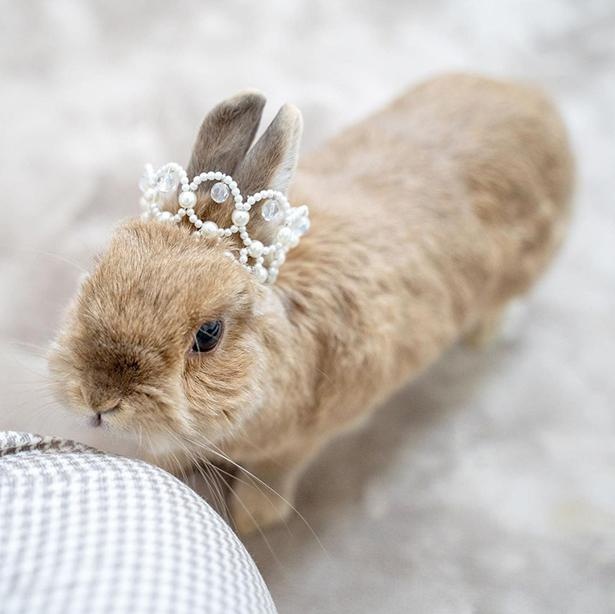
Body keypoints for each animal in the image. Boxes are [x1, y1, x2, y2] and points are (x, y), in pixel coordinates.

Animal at [50, 73, 576, 536]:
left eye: (208, 335)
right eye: (99, 269)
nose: (100, 399)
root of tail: (536, 103)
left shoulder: (304, 441)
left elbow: (275, 478)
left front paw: (249, 517)